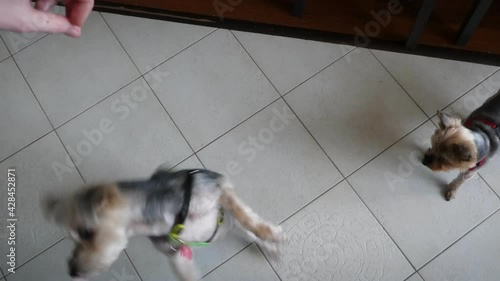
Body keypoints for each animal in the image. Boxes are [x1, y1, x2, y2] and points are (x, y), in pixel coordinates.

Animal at [42, 167, 286, 278]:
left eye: (86, 233)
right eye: (72, 238)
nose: (72, 271)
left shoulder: (220, 188)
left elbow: (248, 217)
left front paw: (270, 233)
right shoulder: (173, 251)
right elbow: (184, 270)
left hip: (228, 216)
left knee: (247, 225)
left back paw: (270, 242)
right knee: (245, 232)